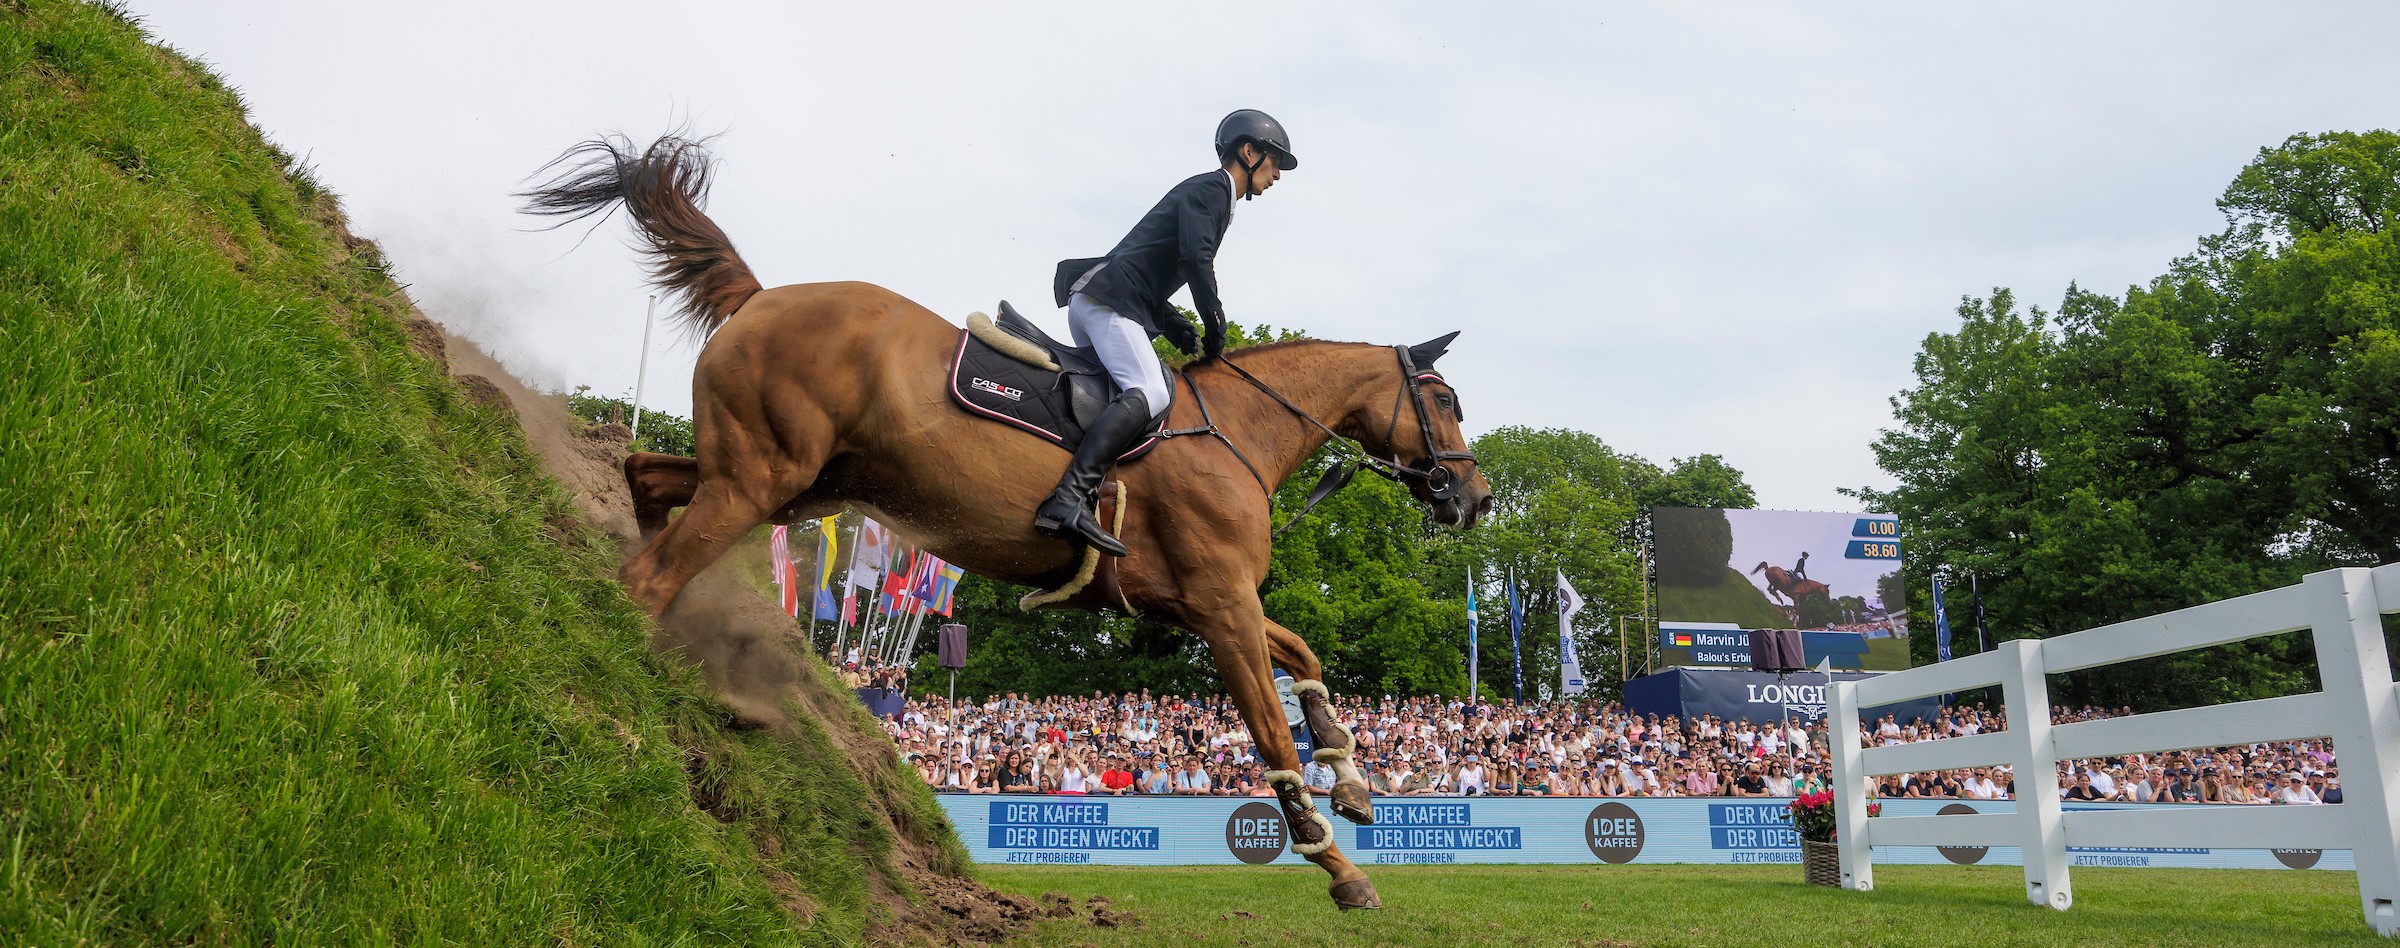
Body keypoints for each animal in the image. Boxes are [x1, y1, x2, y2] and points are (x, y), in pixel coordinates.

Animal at [528, 133, 1488, 912]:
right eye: (1444, 401)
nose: (1474, 499)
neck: (1239, 430)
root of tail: (762, 297)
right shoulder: (1221, 607)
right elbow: (1268, 728)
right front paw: (1341, 866)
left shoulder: (1203, 603)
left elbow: (1306, 662)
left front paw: (1352, 779)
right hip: (762, 481)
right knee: (649, 576)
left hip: (787, 483)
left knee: (645, 480)